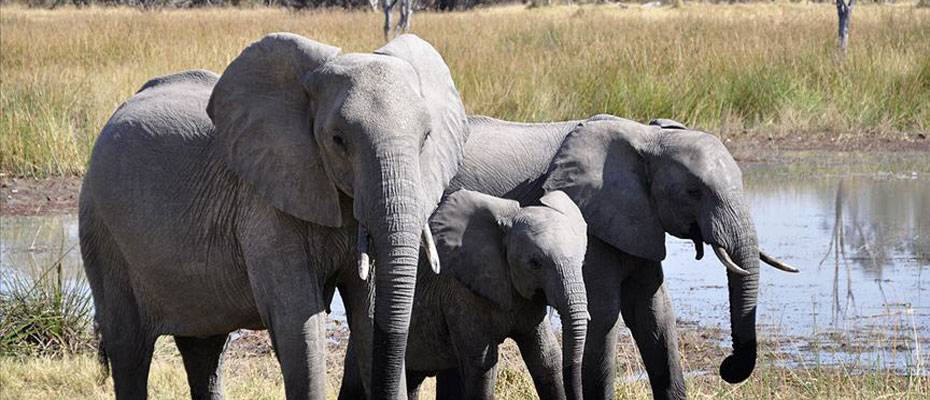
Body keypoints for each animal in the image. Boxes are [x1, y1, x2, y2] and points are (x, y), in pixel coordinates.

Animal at [80, 32, 468, 400]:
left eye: (426, 137)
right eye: (338, 139)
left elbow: (370, 313)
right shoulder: (265, 205)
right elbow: (298, 321)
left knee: (204, 350)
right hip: (102, 231)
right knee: (129, 350)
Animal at [442, 114, 796, 398]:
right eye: (694, 192)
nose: (728, 366)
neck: (648, 139)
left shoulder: (640, 220)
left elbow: (653, 310)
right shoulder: (592, 222)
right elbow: (604, 312)